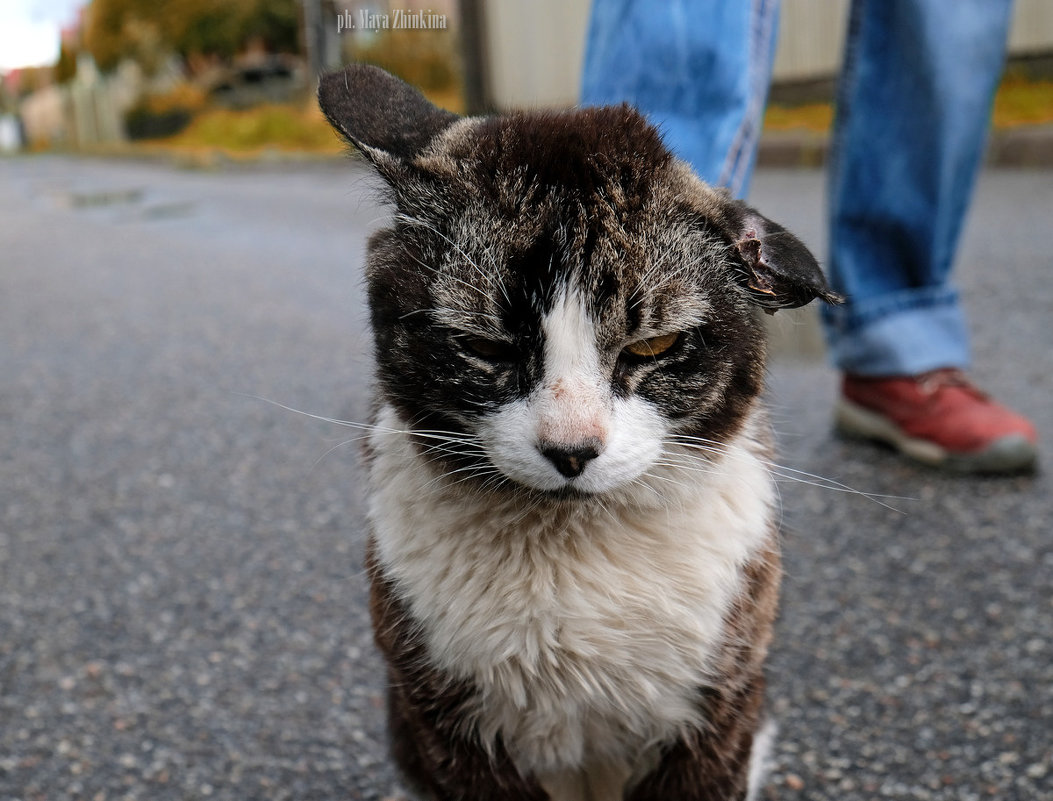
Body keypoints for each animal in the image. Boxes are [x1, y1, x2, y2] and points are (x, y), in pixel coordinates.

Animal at [318, 63, 838, 799]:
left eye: (655, 346)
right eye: (485, 347)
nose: (571, 449)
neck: (573, 552)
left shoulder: (717, 712)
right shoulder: (448, 727)